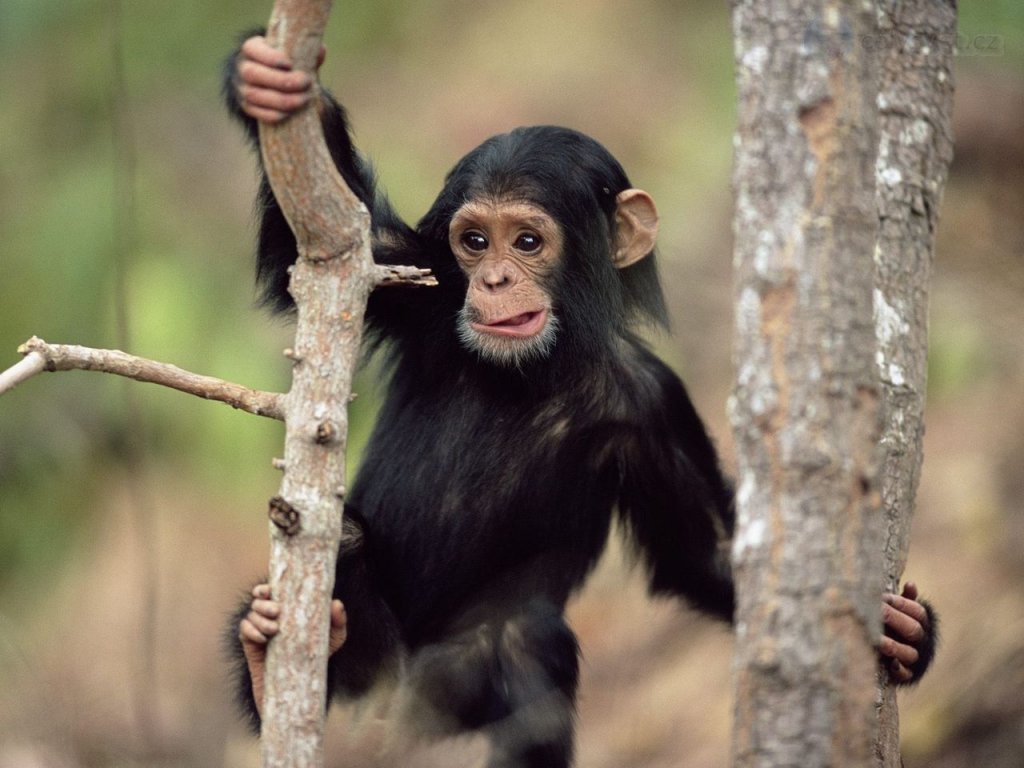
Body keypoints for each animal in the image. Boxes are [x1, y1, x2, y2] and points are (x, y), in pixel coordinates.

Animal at [224, 33, 937, 765]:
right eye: (474, 241)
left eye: (527, 241)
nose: (495, 279)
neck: (536, 369)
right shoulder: (419, 285)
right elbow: (319, 246)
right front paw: (268, 82)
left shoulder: (654, 404)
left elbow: (705, 554)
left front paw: (907, 632)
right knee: (345, 543)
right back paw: (268, 655)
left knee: (527, 639)